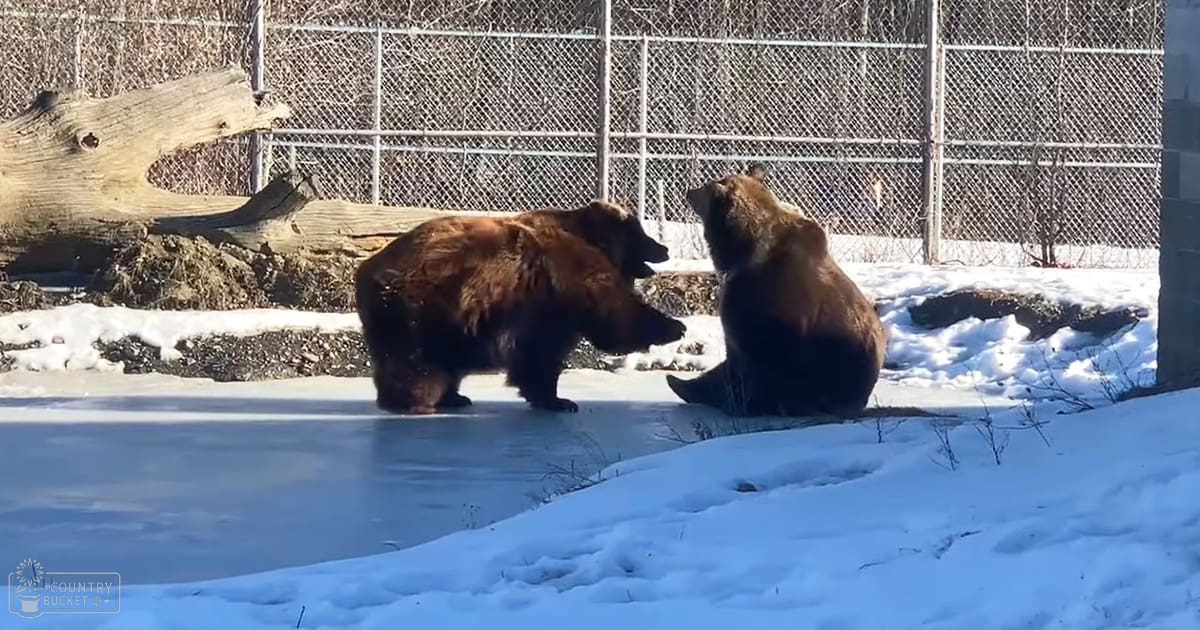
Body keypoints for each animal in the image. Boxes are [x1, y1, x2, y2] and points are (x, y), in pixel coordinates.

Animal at [355, 200, 685, 415]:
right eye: (641, 233)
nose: (664, 248)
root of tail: (367, 268)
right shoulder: (558, 284)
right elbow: (605, 319)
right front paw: (559, 401)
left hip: (447, 321)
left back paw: (453, 397)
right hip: (422, 307)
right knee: (416, 359)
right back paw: (414, 401)